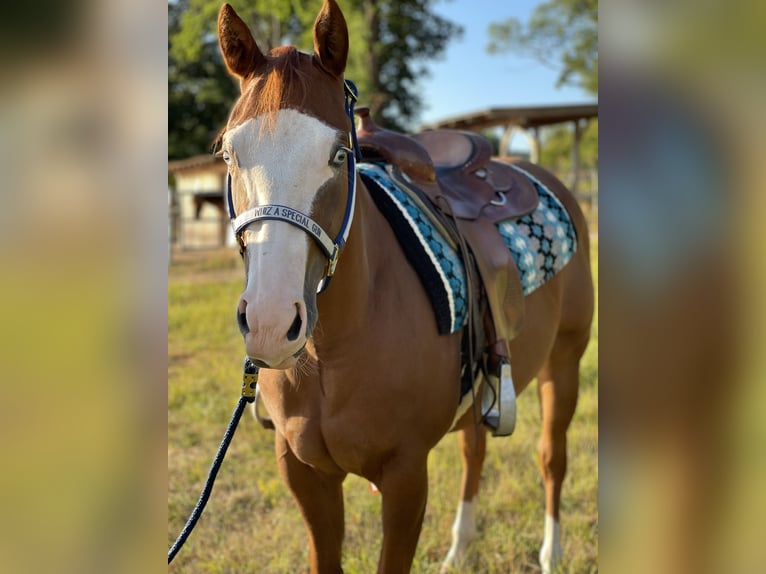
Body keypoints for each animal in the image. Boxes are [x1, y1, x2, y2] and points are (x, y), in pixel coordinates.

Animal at [216, 2, 592, 572]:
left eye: (340, 155)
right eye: (229, 153)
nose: (270, 323)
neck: (334, 352)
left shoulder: (406, 477)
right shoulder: (303, 474)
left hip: (564, 362)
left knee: (552, 457)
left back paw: (552, 551)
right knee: (474, 451)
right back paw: (459, 548)